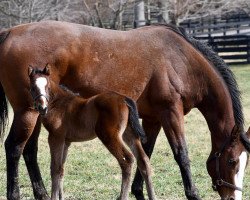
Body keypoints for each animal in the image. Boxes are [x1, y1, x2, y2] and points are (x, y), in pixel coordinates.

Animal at [0, 20, 249, 200]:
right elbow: (182, 154)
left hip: (36, 114)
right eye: (231, 161)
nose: (233, 197)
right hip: (28, 112)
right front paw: (193, 194)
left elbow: (145, 154)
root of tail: (10, 32)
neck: (181, 60)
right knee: (14, 148)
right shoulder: (170, 113)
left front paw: (139, 192)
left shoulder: (151, 119)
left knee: (29, 151)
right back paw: (15, 195)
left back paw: (41, 194)